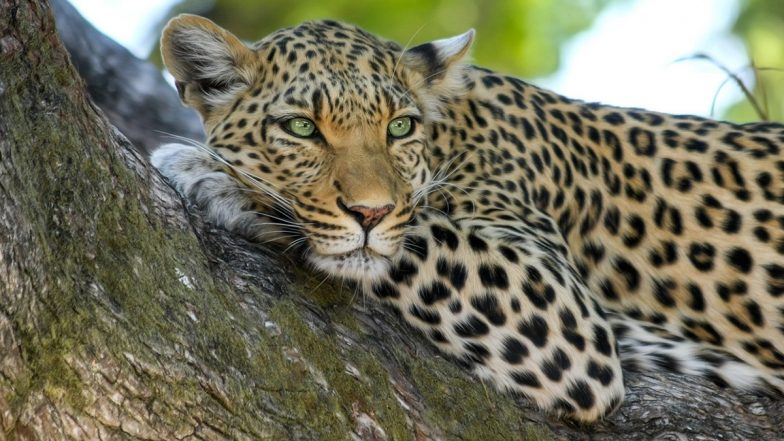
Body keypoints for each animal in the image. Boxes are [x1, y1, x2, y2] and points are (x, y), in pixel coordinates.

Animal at [150, 12, 784, 422]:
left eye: (399, 127)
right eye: (302, 127)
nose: (370, 211)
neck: (452, 134)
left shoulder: (562, 309)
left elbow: (416, 235)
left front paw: (213, 174)